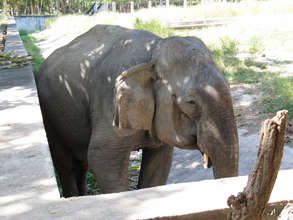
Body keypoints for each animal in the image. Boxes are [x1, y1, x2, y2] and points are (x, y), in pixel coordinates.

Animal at [35, 24, 238, 198]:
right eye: (191, 102)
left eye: (230, 87)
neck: (153, 51)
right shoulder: (108, 103)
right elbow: (101, 157)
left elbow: (160, 161)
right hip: (50, 119)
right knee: (65, 163)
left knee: (81, 162)